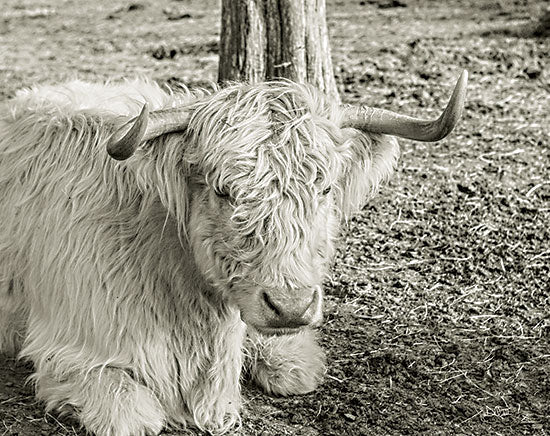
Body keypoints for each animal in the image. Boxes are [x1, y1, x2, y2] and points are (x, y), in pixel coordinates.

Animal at [0, 70, 468, 434]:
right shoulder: (67, 353)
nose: (290, 306)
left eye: (324, 188)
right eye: (224, 190)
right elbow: (132, 416)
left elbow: (296, 369)